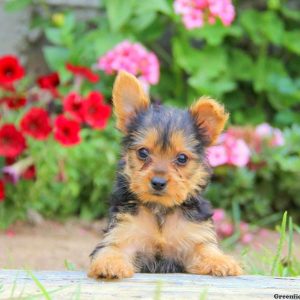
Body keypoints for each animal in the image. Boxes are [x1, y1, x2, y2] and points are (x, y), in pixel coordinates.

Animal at [86, 70, 241, 278]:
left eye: (182, 158)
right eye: (143, 153)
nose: (158, 182)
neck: (160, 209)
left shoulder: (193, 237)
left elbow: (205, 248)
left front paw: (222, 261)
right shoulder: (122, 234)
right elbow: (111, 249)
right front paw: (109, 265)